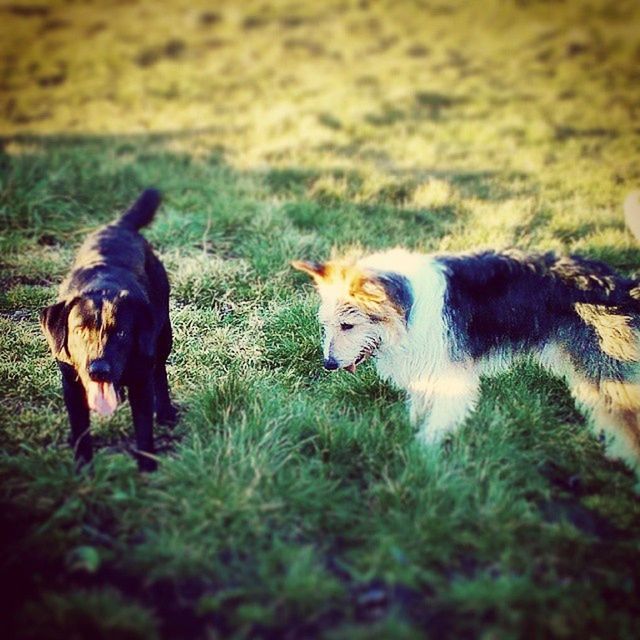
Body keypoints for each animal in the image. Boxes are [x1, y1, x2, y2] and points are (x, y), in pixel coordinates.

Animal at [41, 188, 176, 472]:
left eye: (122, 333)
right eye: (79, 331)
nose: (99, 370)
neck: (102, 287)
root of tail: (119, 225)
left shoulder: (141, 382)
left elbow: (143, 430)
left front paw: (147, 469)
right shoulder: (71, 385)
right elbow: (81, 431)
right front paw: (83, 470)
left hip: (162, 333)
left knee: (160, 368)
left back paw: (166, 411)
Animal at [292, 192, 640, 478]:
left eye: (347, 325)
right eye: (326, 325)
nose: (328, 365)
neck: (409, 308)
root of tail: (623, 286)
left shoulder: (450, 375)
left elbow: (433, 427)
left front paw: (420, 458)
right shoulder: (424, 370)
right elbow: (418, 410)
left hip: (609, 374)